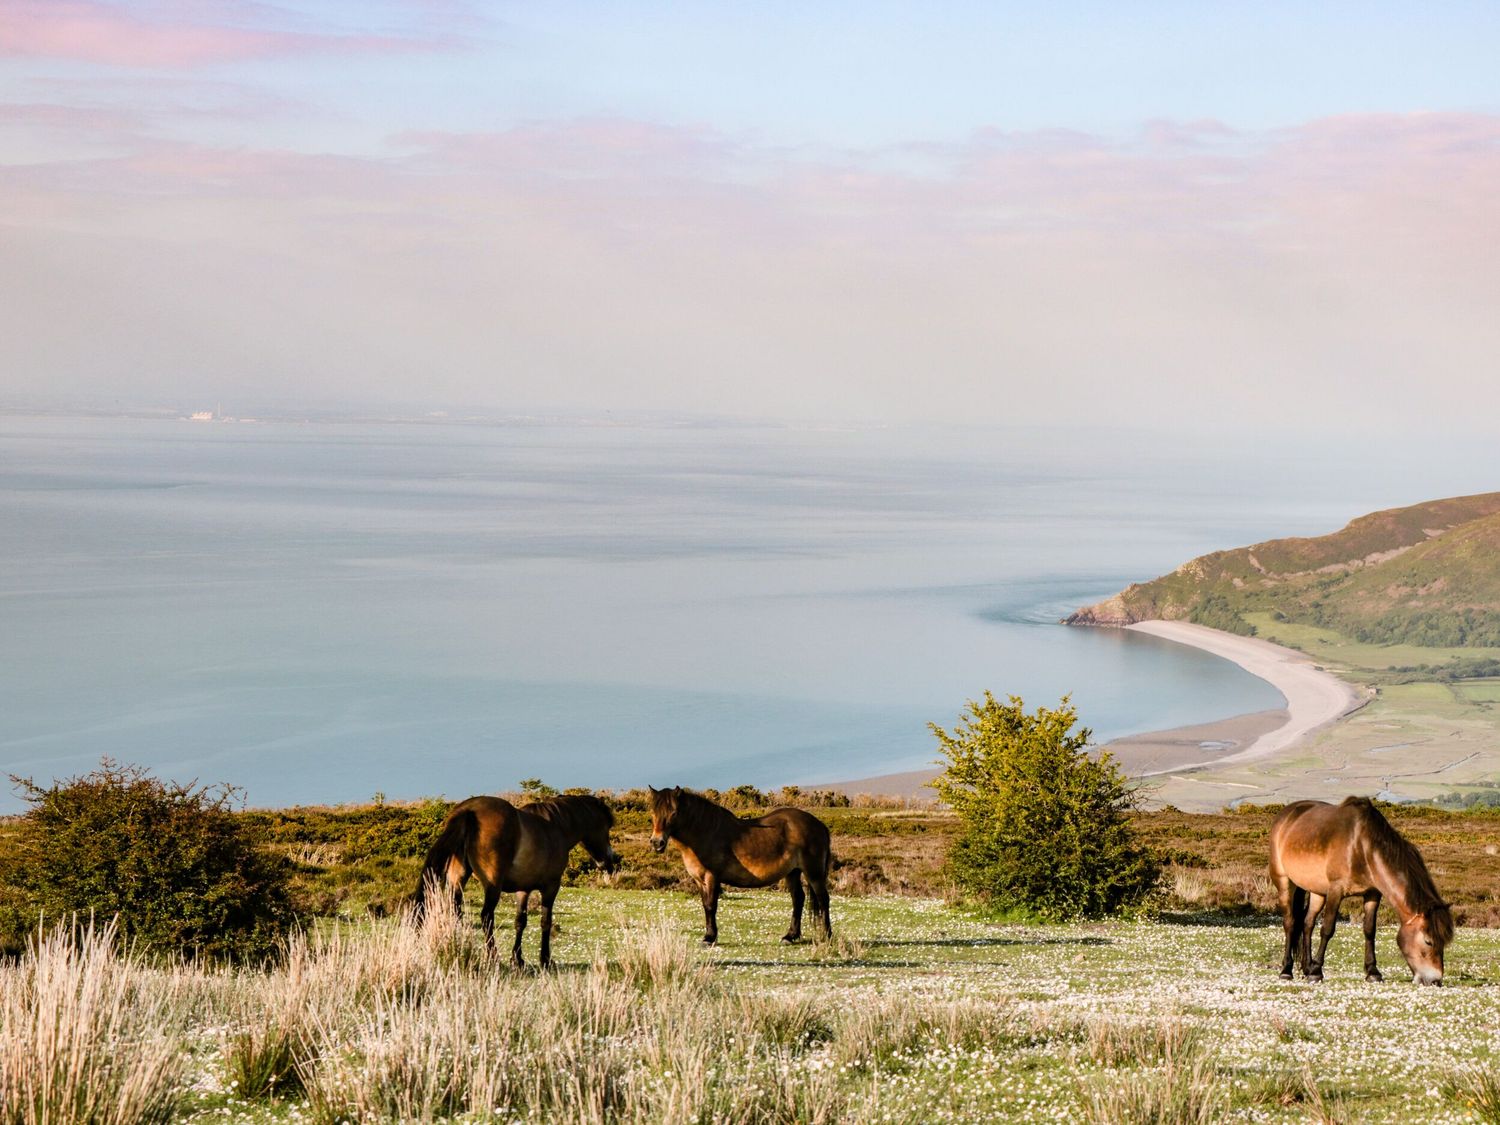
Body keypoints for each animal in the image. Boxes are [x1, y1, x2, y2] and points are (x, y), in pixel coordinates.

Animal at [414, 792, 618, 972]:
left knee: (455, 910)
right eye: (606, 826)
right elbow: (546, 921)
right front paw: (545, 960)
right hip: (493, 886)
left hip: (458, 879)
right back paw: (493, 958)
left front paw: (518, 959)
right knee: (486, 917)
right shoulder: (551, 887)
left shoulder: (523, 890)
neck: (556, 827)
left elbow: (520, 921)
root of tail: (469, 811)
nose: (608, 861)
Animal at [645, 786, 834, 948]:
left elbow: (711, 906)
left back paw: (827, 936)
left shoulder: (711, 877)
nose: (657, 842)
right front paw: (709, 936)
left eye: (674, 813)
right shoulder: (699, 880)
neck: (705, 833)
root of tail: (819, 825)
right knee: (798, 899)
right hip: (792, 872)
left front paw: (709, 938)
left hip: (813, 873)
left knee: (823, 899)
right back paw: (790, 936)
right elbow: (705, 905)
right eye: (653, 812)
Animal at [1266, 804, 1452, 984]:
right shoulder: (1335, 891)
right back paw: (1286, 970)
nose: (1435, 981)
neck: (1361, 848)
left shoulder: (1372, 894)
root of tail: (1285, 814)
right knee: (1290, 923)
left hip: (1317, 892)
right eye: (1428, 941)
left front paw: (1373, 972)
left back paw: (1306, 968)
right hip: (1284, 882)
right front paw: (1317, 971)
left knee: (1307, 923)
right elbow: (1327, 929)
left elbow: (1369, 930)